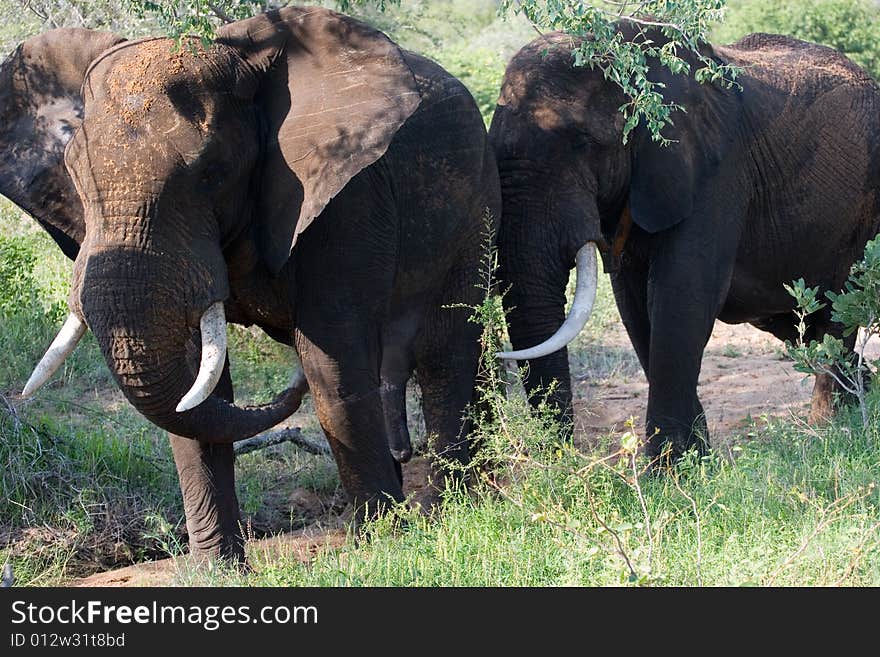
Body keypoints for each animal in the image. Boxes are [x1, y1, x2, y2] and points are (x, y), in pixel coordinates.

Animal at [1, 5, 502, 560]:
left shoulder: (347, 194)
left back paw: (449, 510)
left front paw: (384, 544)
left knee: (447, 349)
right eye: (74, 172)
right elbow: (194, 387)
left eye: (212, 171)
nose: (289, 389)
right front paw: (216, 569)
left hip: (478, 205)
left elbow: (332, 365)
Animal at [488, 25, 880, 464]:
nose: (561, 459)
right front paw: (695, 458)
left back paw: (831, 428)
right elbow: (635, 306)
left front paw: (669, 470)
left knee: (837, 311)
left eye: (584, 143)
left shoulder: (715, 172)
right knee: (802, 326)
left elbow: (682, 294)